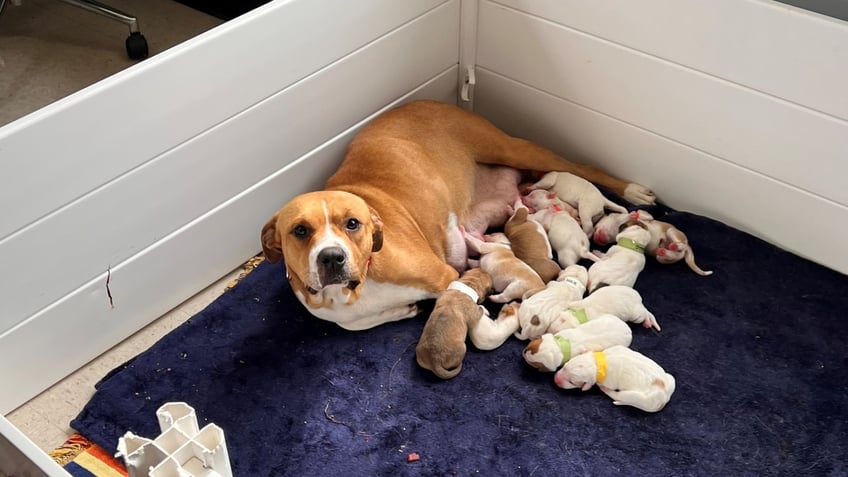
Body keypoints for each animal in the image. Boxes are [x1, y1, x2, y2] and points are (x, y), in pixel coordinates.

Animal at [264, 99, 656, 330]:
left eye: (352, 224)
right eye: (300, 230)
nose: (332, 257)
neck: (352, 292)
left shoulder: (443, 275)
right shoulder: (334, 313)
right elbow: (353, 323)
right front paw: (402, 311)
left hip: (511, 148)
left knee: (581, 166)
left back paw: (633, 190)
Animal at [552, 342, 680, 412]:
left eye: (572, 382)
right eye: (564, 367)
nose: (555, 380)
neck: (597, 364)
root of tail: (665, 399)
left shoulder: (609, 381)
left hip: (639, 397)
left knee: (619, 396)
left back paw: (606, 391)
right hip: (670, 378)